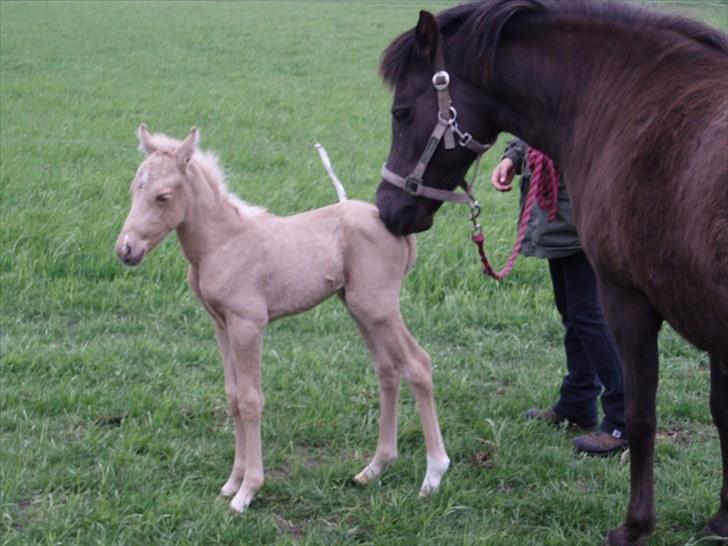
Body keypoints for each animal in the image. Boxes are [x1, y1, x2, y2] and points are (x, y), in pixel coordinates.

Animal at [114, 126, 450, 510]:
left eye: (163, 196)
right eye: (134, 189)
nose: (126, 250)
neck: (223, 242)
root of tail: (397, 227)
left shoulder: (248, 324)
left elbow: (250, 400)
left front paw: (247, 491)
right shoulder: (221, 325)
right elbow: (233, 397)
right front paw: (231, 482)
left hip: (379, 307)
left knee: (418, 364)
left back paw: (434, 474)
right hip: (359, 308)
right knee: (388, 368)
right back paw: (374, 468)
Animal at [376, 1, 728, 544]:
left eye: (402, 112)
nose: (387, 209)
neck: (630, 94)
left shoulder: (627, 298)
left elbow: (642, 415)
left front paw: (635, 525)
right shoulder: (708, 319)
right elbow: (723, 415)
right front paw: (722, 519)